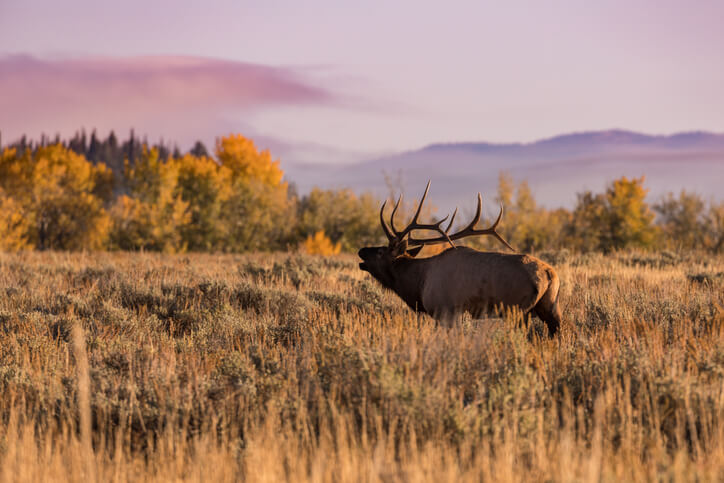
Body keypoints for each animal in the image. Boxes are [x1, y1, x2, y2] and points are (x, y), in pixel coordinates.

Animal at [360, 182, 564, 336]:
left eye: (381, 251)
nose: (361, 251)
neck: (419, 283)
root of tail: (549, 274)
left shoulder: (445, 311)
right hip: (550, 307)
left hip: (518, 309)